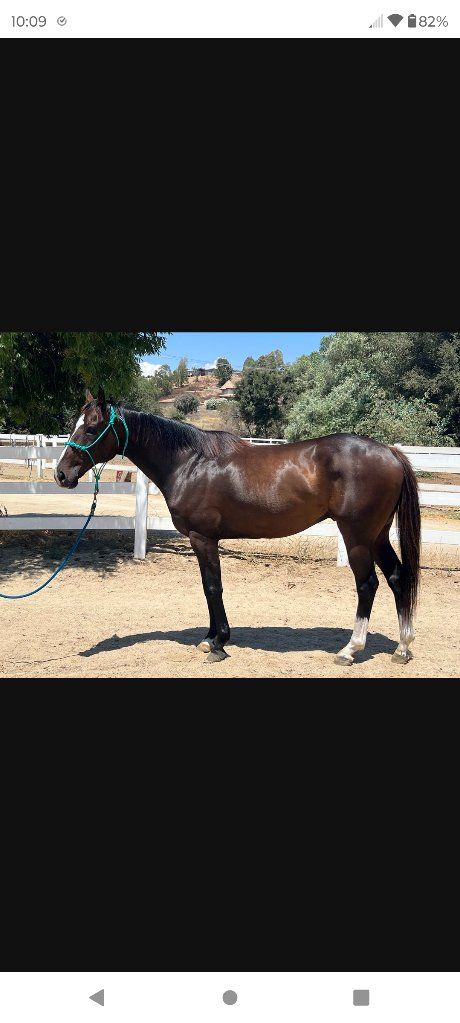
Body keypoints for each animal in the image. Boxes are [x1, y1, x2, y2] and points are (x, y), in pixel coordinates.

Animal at [55, 387, 421, 667]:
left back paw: (349, 650)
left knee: (368, 584)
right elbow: (208, 587)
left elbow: (212, 586)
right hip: (377, 536)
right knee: (397, 578)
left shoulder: (203, 537)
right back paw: (402, 648)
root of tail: (390, 451)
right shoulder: (204, 539)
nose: (61, 474)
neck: (189, 463)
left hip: (357, 536)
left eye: (91, 428)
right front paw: (211, 638)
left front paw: (217, 643)